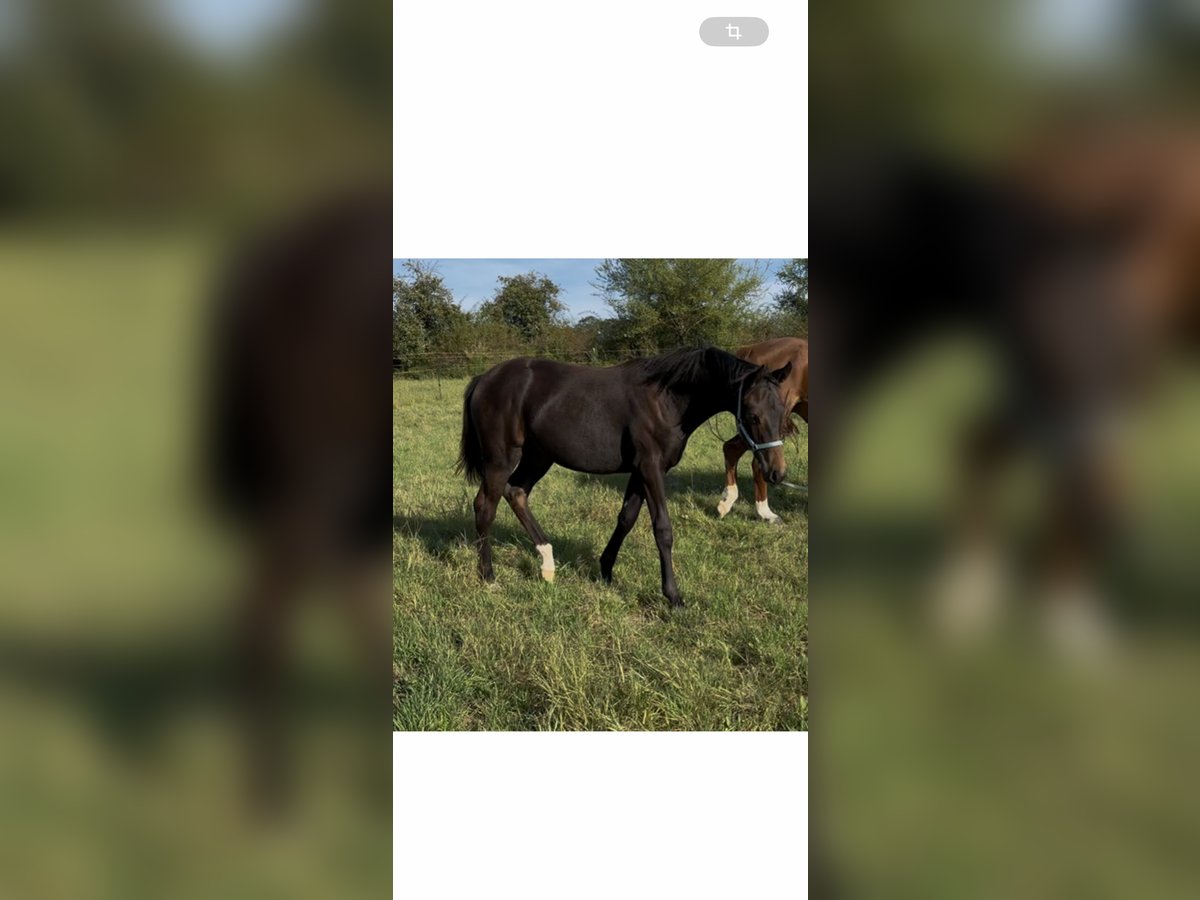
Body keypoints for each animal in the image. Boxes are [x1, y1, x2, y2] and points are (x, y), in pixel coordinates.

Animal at [457, 347, 794, 607]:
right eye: (752, 415)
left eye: (783, 413)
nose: (776, 472)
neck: (666, 400)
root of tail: (484, 379)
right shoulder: (651, 469)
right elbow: (662, 529)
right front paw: (673, 596)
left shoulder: (639, 472)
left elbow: (626, 518)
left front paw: (606, 571)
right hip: (501, 459)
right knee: (485, 506)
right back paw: (488, 577)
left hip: (539, 456)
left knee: (516, 493)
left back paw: (547, 564)